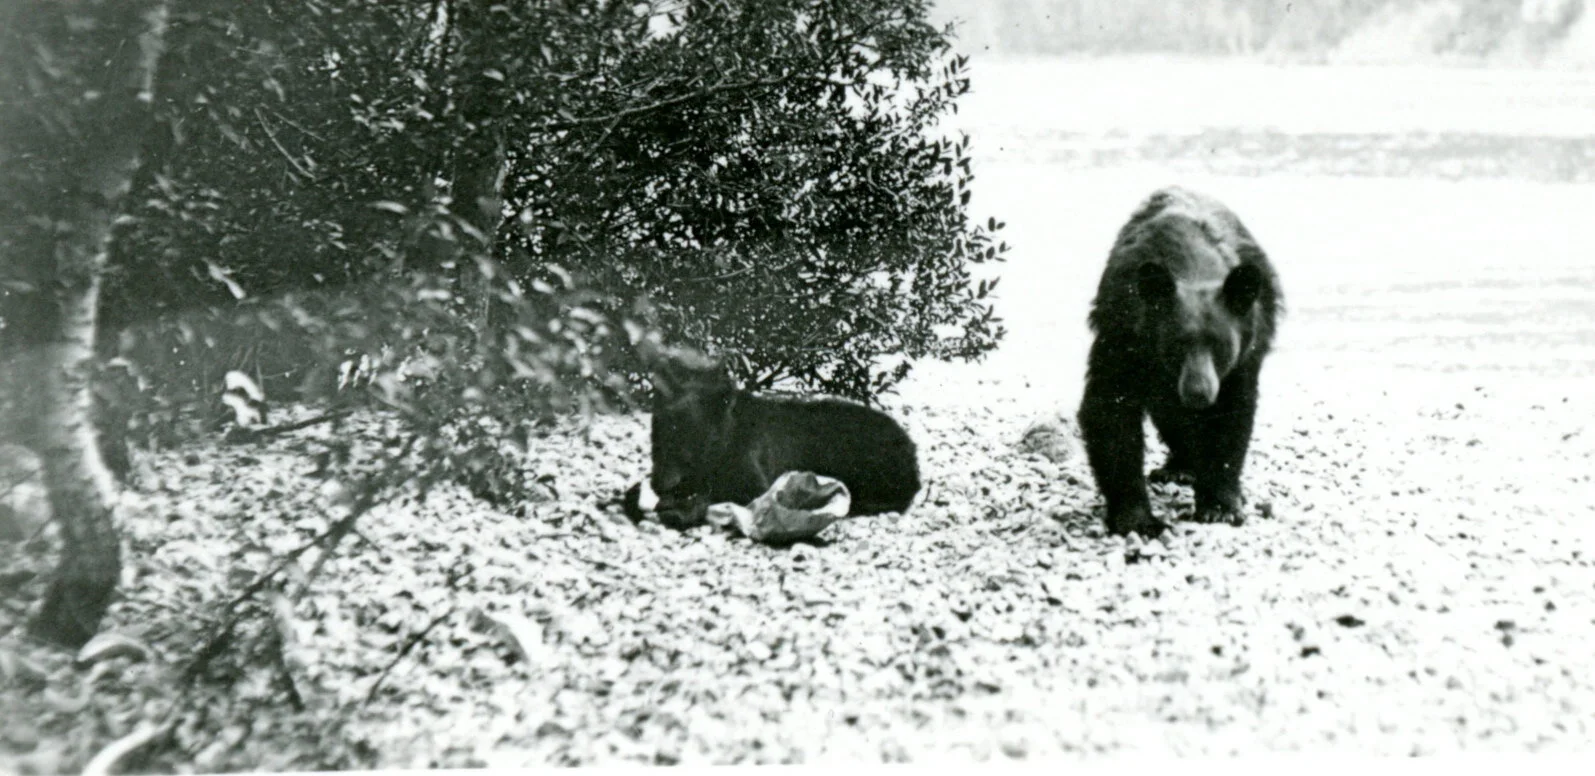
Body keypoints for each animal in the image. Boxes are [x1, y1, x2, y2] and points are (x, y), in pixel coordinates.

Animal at [640, 350, 921, 529]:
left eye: (694, 436)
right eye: (658, 433)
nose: (660, 483)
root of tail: (911, 449)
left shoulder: (749, 461)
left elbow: (736, 491)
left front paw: (682, 508)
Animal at [1077, 186, 1282, 538]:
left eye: (1220, 345)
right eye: (1176, 344)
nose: (1198, 393)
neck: (1193, 266)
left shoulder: (1245, 353)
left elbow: (1232, 415)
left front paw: (1220, 507)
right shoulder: (1122, 334)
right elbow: (1110, 409)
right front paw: (1138, 520)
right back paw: (1180, 468)